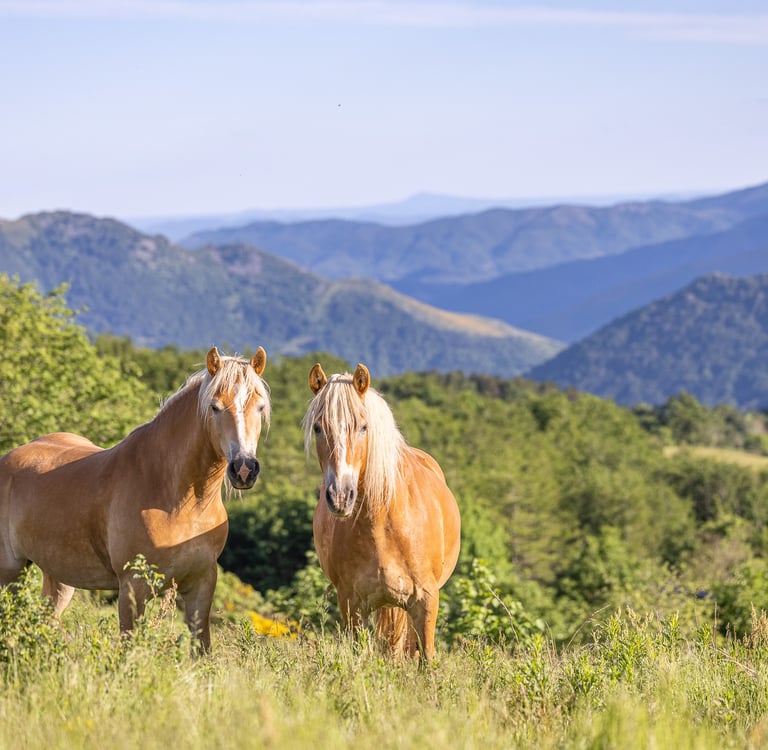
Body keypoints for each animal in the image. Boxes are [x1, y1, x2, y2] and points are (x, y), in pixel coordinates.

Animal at [0, 346, 269, 652]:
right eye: (214, 407)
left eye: (260, 407)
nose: (244, 468)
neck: (180, 500)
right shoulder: (132, 587)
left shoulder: (202, 582)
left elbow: (201, 646)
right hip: (10, 572)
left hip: (58, 577)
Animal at [304, 362, 461, 659]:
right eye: (318, 427)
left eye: (364, 427)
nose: (340, 496)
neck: (382, 524)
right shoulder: (352, 605)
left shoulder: (425, 602)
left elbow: (426, 657)